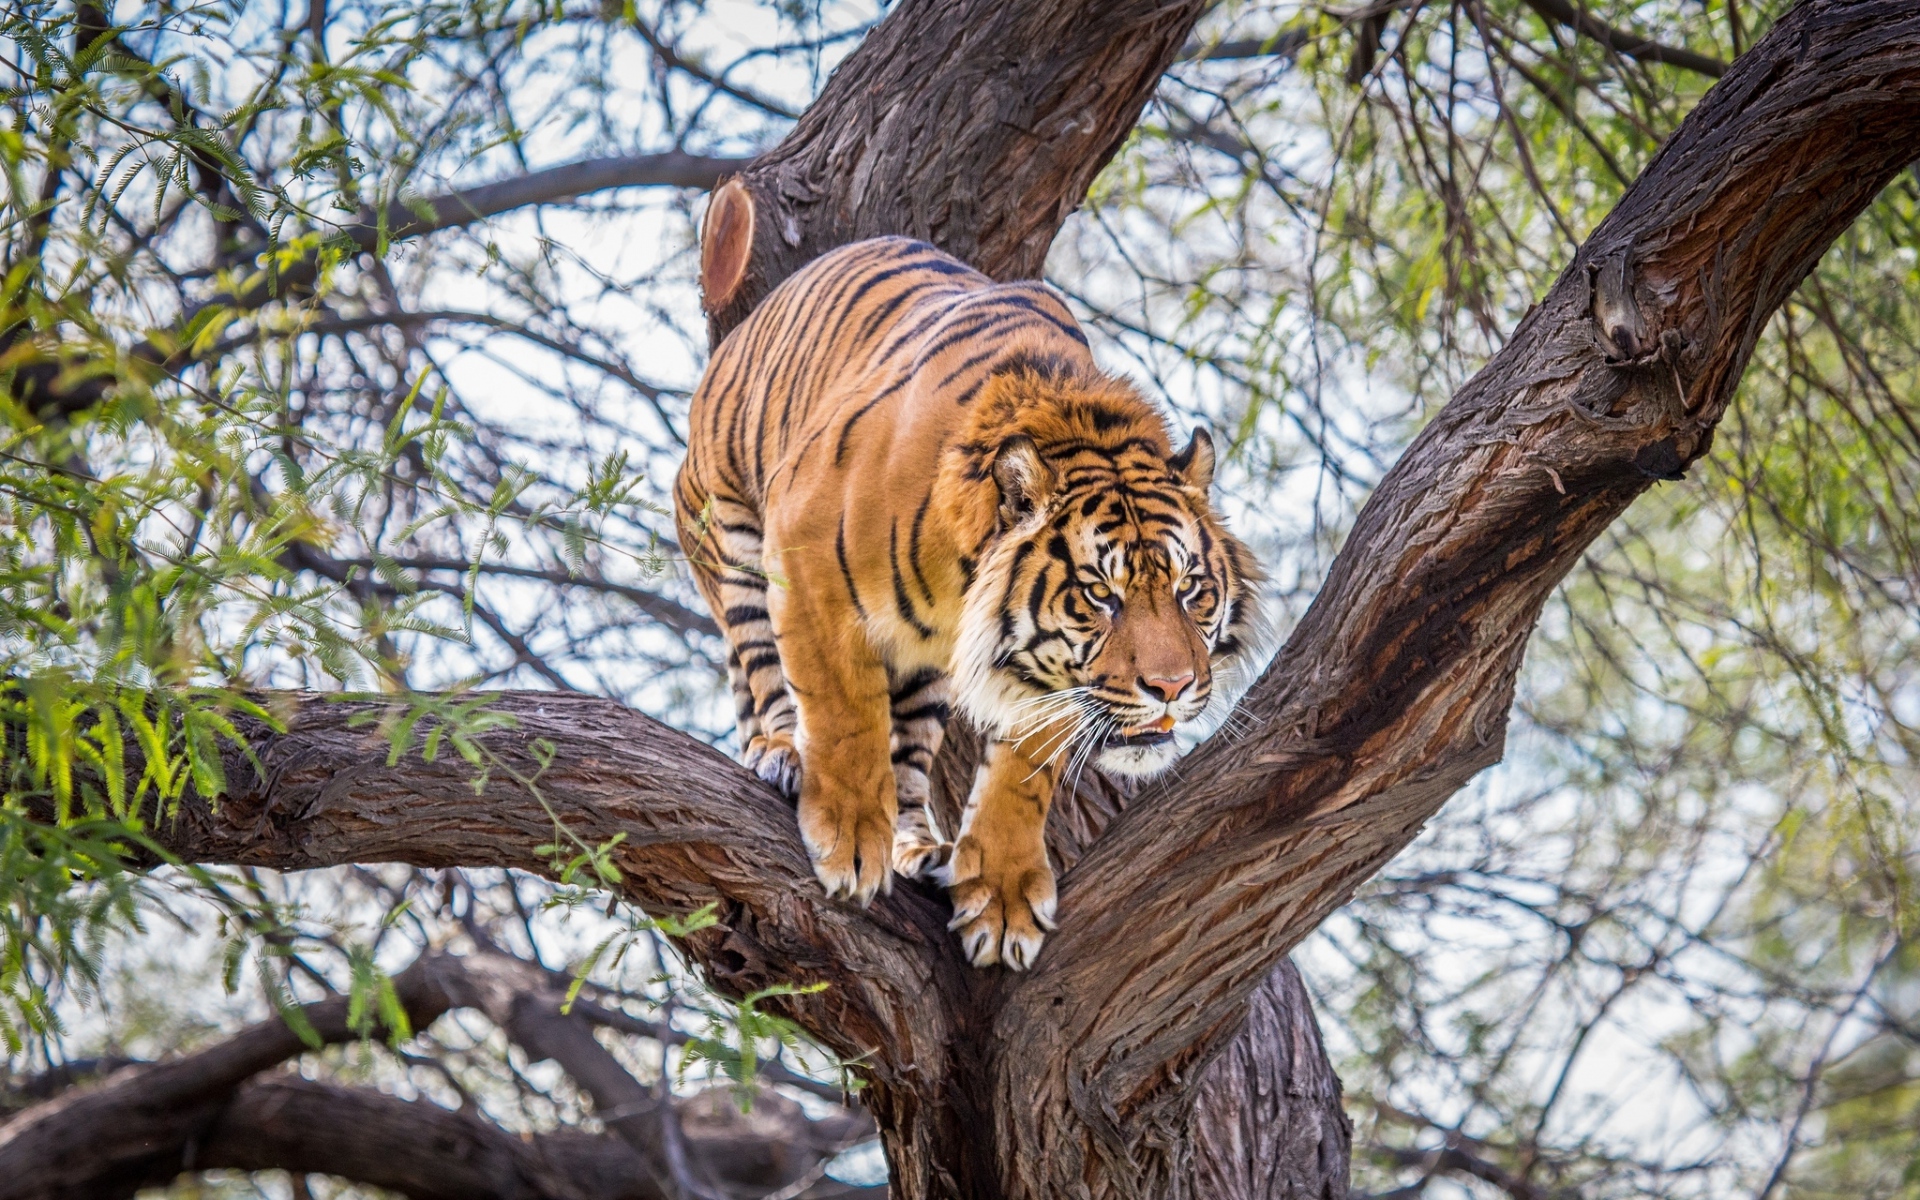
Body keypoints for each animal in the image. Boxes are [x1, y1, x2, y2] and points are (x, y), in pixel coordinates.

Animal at [674, 236, 1266, 969]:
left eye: (1190, 590)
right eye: (1100, 594)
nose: (1172, 687)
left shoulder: (1045, 677)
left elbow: (1022, 773)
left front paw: (1003, 898)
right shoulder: (805, 558)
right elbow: (843, 712)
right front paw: (849, 838)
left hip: (925, 672)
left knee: (906, 760)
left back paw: (920, 847)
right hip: (728, 532)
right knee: (763, 671)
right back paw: (784, 754)